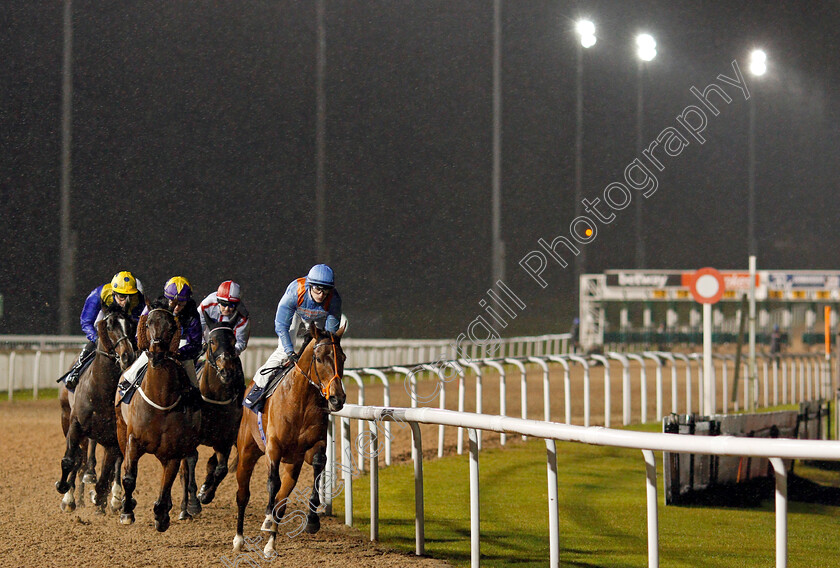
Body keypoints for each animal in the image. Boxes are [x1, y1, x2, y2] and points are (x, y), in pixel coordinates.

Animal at [55, 306, 136, 516]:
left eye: (130, 324)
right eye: (109, 325)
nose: (128, 356)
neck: (100, 391)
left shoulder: (113, 438)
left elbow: (108, 474)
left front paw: (103, 500)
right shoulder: (75, 425)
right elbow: (70, 460)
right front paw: (65, 491)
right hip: (67, 418)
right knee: (80, 459)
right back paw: (73, 497)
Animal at [115, 302, 203, 532]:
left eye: (172, 326)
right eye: (148, 323)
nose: (156, 353)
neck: (160, 401)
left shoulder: (173, 451)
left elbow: (167, 482)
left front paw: (162, 514)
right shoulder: (133, 440)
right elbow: (129, 477)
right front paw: (127, 511)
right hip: (120, 428)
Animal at [195, 316, 248, 506]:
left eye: (233, 341)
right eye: (212, 341)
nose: (226, 371)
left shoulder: (225, 441)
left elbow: (221, 470)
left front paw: (206, 495)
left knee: (213, 464)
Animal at [231, 322, 346, 556]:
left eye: (343, 357)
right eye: (318, 358)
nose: (337, 399)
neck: (301, 401)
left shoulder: (313, 446)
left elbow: (318, 464)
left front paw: (312, 520)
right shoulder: (274, 447)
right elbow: (272, 482)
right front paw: (266, 518)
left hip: (293, 464)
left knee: (281, 501)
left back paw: (270, 544)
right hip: (247, 451)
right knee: (243, 494)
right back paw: (239, 539)